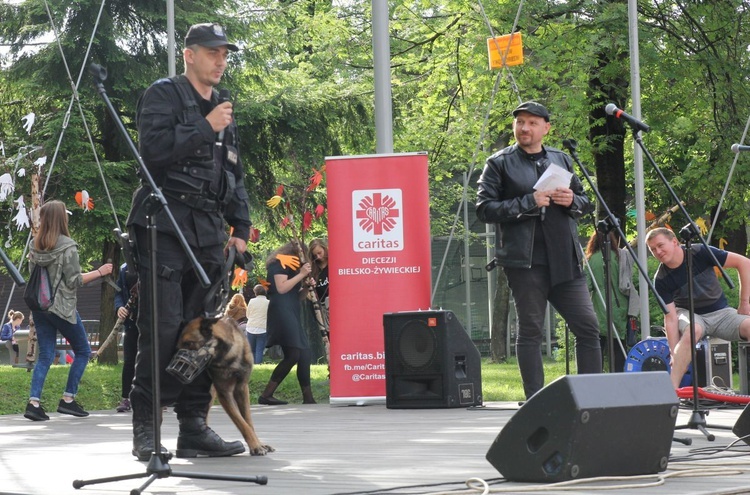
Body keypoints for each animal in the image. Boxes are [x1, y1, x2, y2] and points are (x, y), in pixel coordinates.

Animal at [177, 318, 276, 458]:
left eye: (189, 343)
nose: (176, 367)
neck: (228, 355)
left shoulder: (242, 388)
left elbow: (248, 422)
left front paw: (258, 444)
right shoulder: (225, 394)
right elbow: (242, 423)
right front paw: (255, 446)